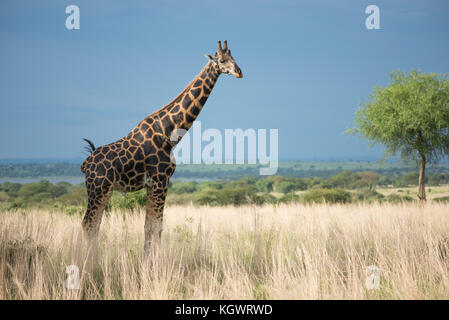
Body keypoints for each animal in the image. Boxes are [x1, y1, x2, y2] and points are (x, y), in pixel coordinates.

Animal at [79, 40, 242, 255]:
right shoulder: (160, 180)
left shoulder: (153, 184)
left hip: (104, 190)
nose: (239, 72)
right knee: (88, 223)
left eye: (234, 58)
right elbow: (156, 227)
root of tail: (86, 163)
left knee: (94, 224)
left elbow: (149, 227)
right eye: (222, 60)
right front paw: (152, 263)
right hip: (98, 187)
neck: (168, 133)